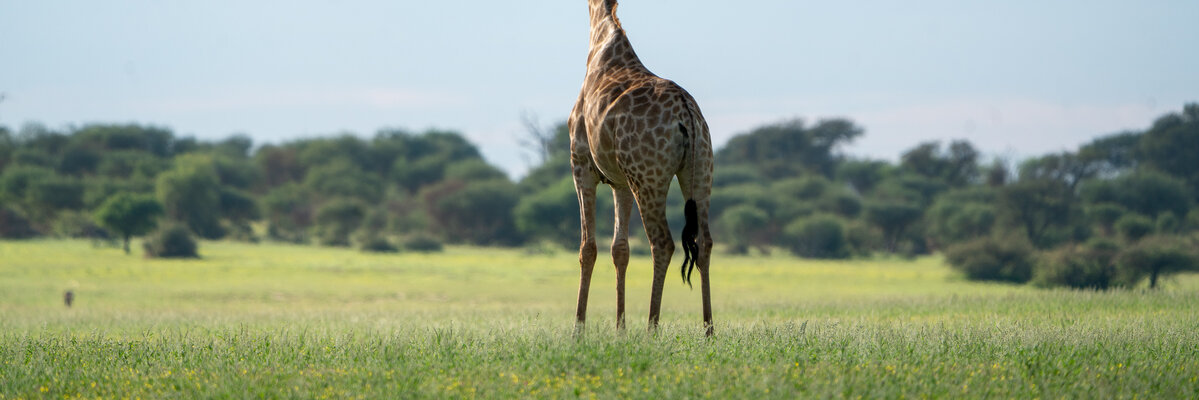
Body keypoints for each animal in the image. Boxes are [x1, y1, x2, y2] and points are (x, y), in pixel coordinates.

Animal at [569, 0, 715, 336]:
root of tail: (686, 115)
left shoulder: (581, 166)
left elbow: (588, 248)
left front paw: (578, 331)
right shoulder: (619, 181)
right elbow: (619, 249)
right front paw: (620, 330)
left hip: (649, 178)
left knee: (663, 243)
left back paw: (652, 329)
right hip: (700, 173)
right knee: (705, 242)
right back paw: (708, 330)